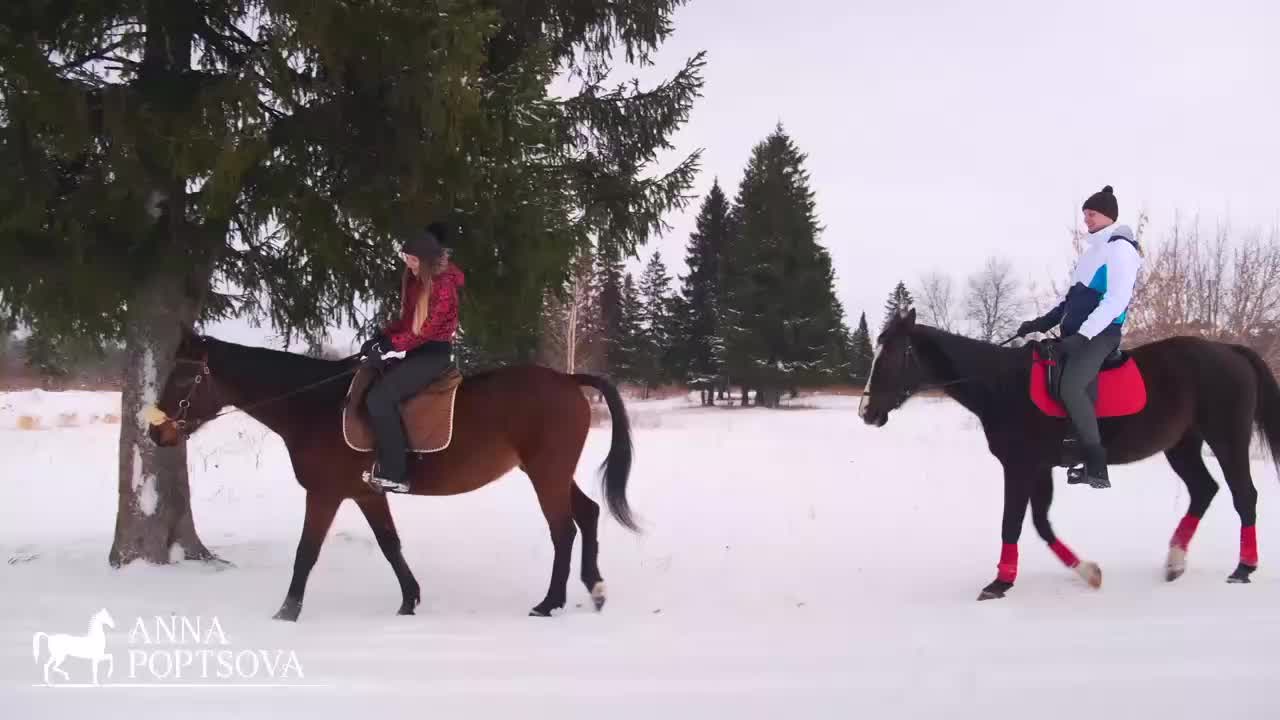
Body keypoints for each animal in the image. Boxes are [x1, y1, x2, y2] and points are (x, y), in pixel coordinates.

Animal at [147, 330, 637, 617]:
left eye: (182, 379)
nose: (156, 433)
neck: (313, 405)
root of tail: (568, 380)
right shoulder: (366, 493)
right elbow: (389, 544)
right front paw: (409, 599)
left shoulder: (324, 494)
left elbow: (307, 552)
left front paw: (287, 611)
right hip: (553, 471)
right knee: (588, 514)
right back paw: (594, 588)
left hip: (545, 472)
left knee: (563, 529)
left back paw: (549, 602)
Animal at [855, 308, 1280, 599]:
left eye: (891, 356)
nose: (866, 412)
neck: (1002, 385)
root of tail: (1230, 350)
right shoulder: (1040, 468)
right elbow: (1041, 524)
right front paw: (1087, 571)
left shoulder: (1019, 466)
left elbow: (1013, 522)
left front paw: (999, 583)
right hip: (1182, 445)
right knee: (1204, 490)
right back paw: (1175, 561)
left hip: (1226, 438)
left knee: (1244, 495)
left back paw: (1243, 568)